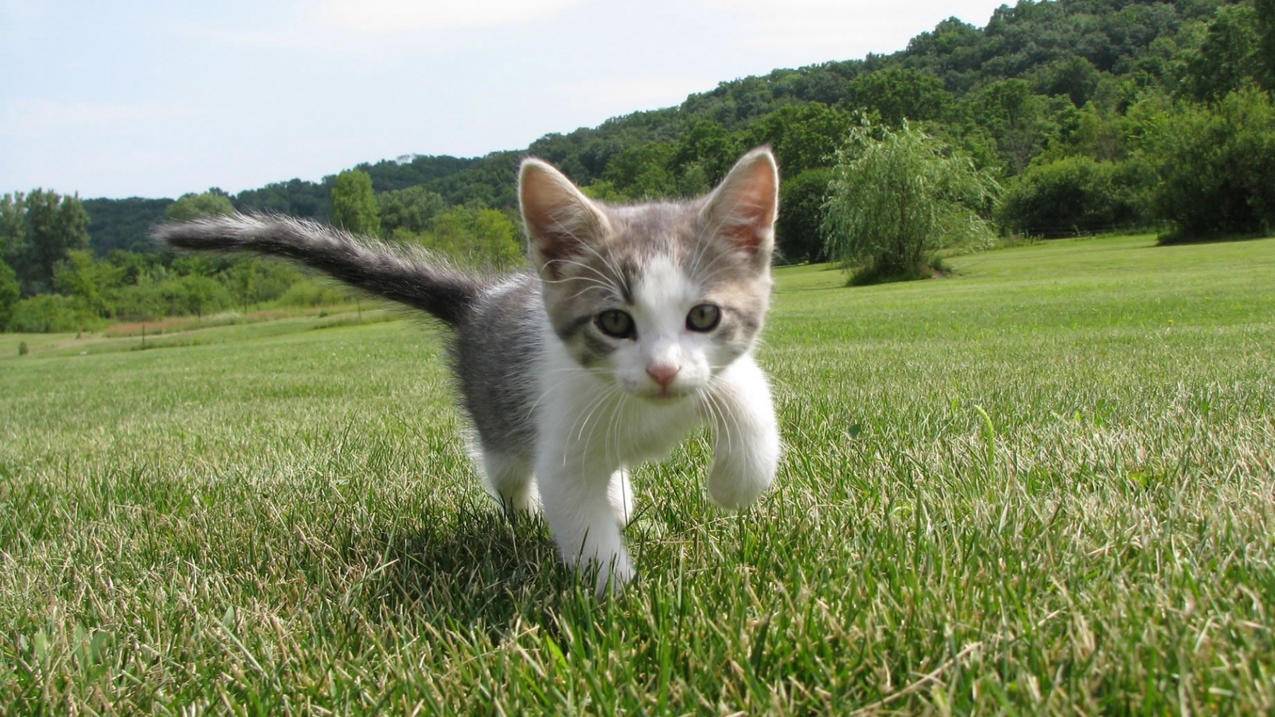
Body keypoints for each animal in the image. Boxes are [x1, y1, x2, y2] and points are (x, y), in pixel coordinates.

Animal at [154, 147, 780, 594]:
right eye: (613, 322)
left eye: (703, 316)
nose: (663, 371)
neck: (648, 411)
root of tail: (479, 297)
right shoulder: (561, 437)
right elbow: (578, 515)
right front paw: (618, 592)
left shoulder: (722, 370)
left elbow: (751, 407)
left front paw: (732, 485)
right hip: (497, 425)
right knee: (507, 474)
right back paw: (531, 514)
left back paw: (622, 496)